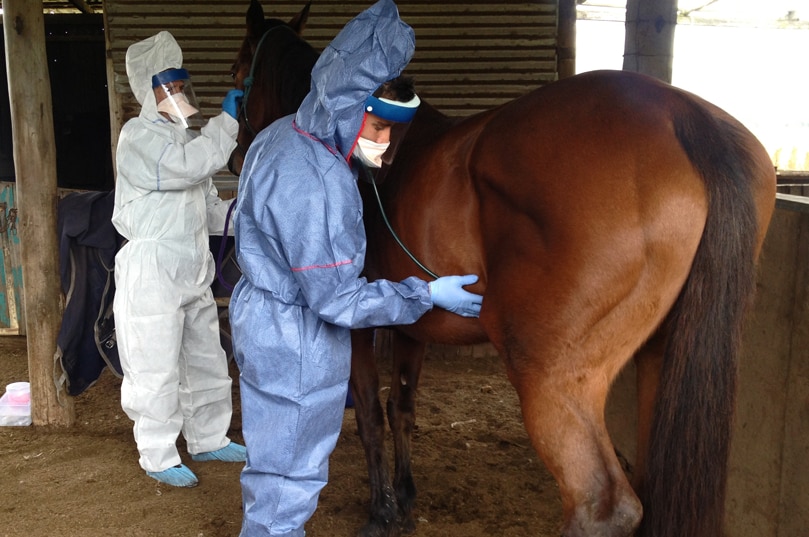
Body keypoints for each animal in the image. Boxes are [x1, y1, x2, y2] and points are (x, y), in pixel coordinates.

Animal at [227, 2, 776, 532]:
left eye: (237, 71)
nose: (235, 159)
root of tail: (682, 116)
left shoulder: (360, 327)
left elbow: (368, 412)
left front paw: (381, 511)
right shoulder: (410, 324)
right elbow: (401, 407)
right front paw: (404, 500)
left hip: (550, 376)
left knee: (603, 505)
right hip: (660, 361)